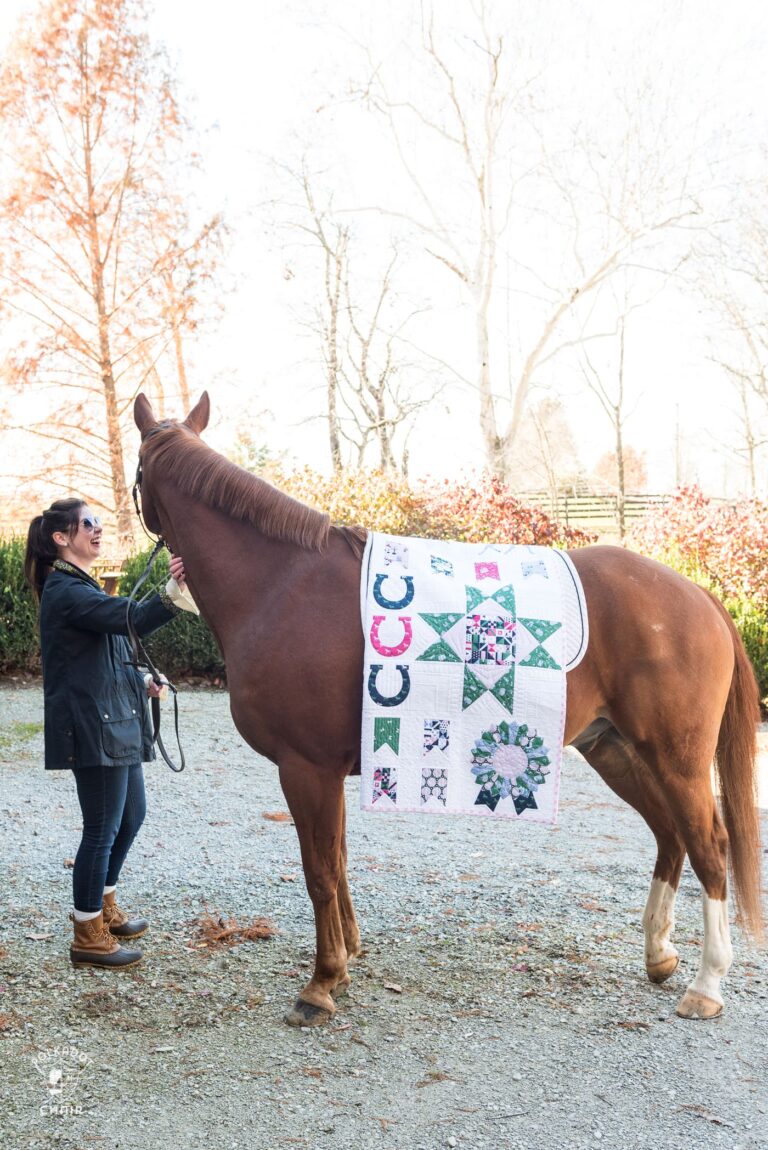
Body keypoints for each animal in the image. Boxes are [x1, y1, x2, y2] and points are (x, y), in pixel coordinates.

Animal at [132, 393, 763, 1025]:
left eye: (136, 474)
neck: (281, 584)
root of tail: (698, 595)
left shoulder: (305, 768)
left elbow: (319, 873)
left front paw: (321, 983)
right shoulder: (331, 772)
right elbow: (338, 861)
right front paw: (348, 957)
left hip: (676, 758)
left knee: (710, 847)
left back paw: (707, 985)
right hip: (614, 749)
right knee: (670, 836)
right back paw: (659, 953)